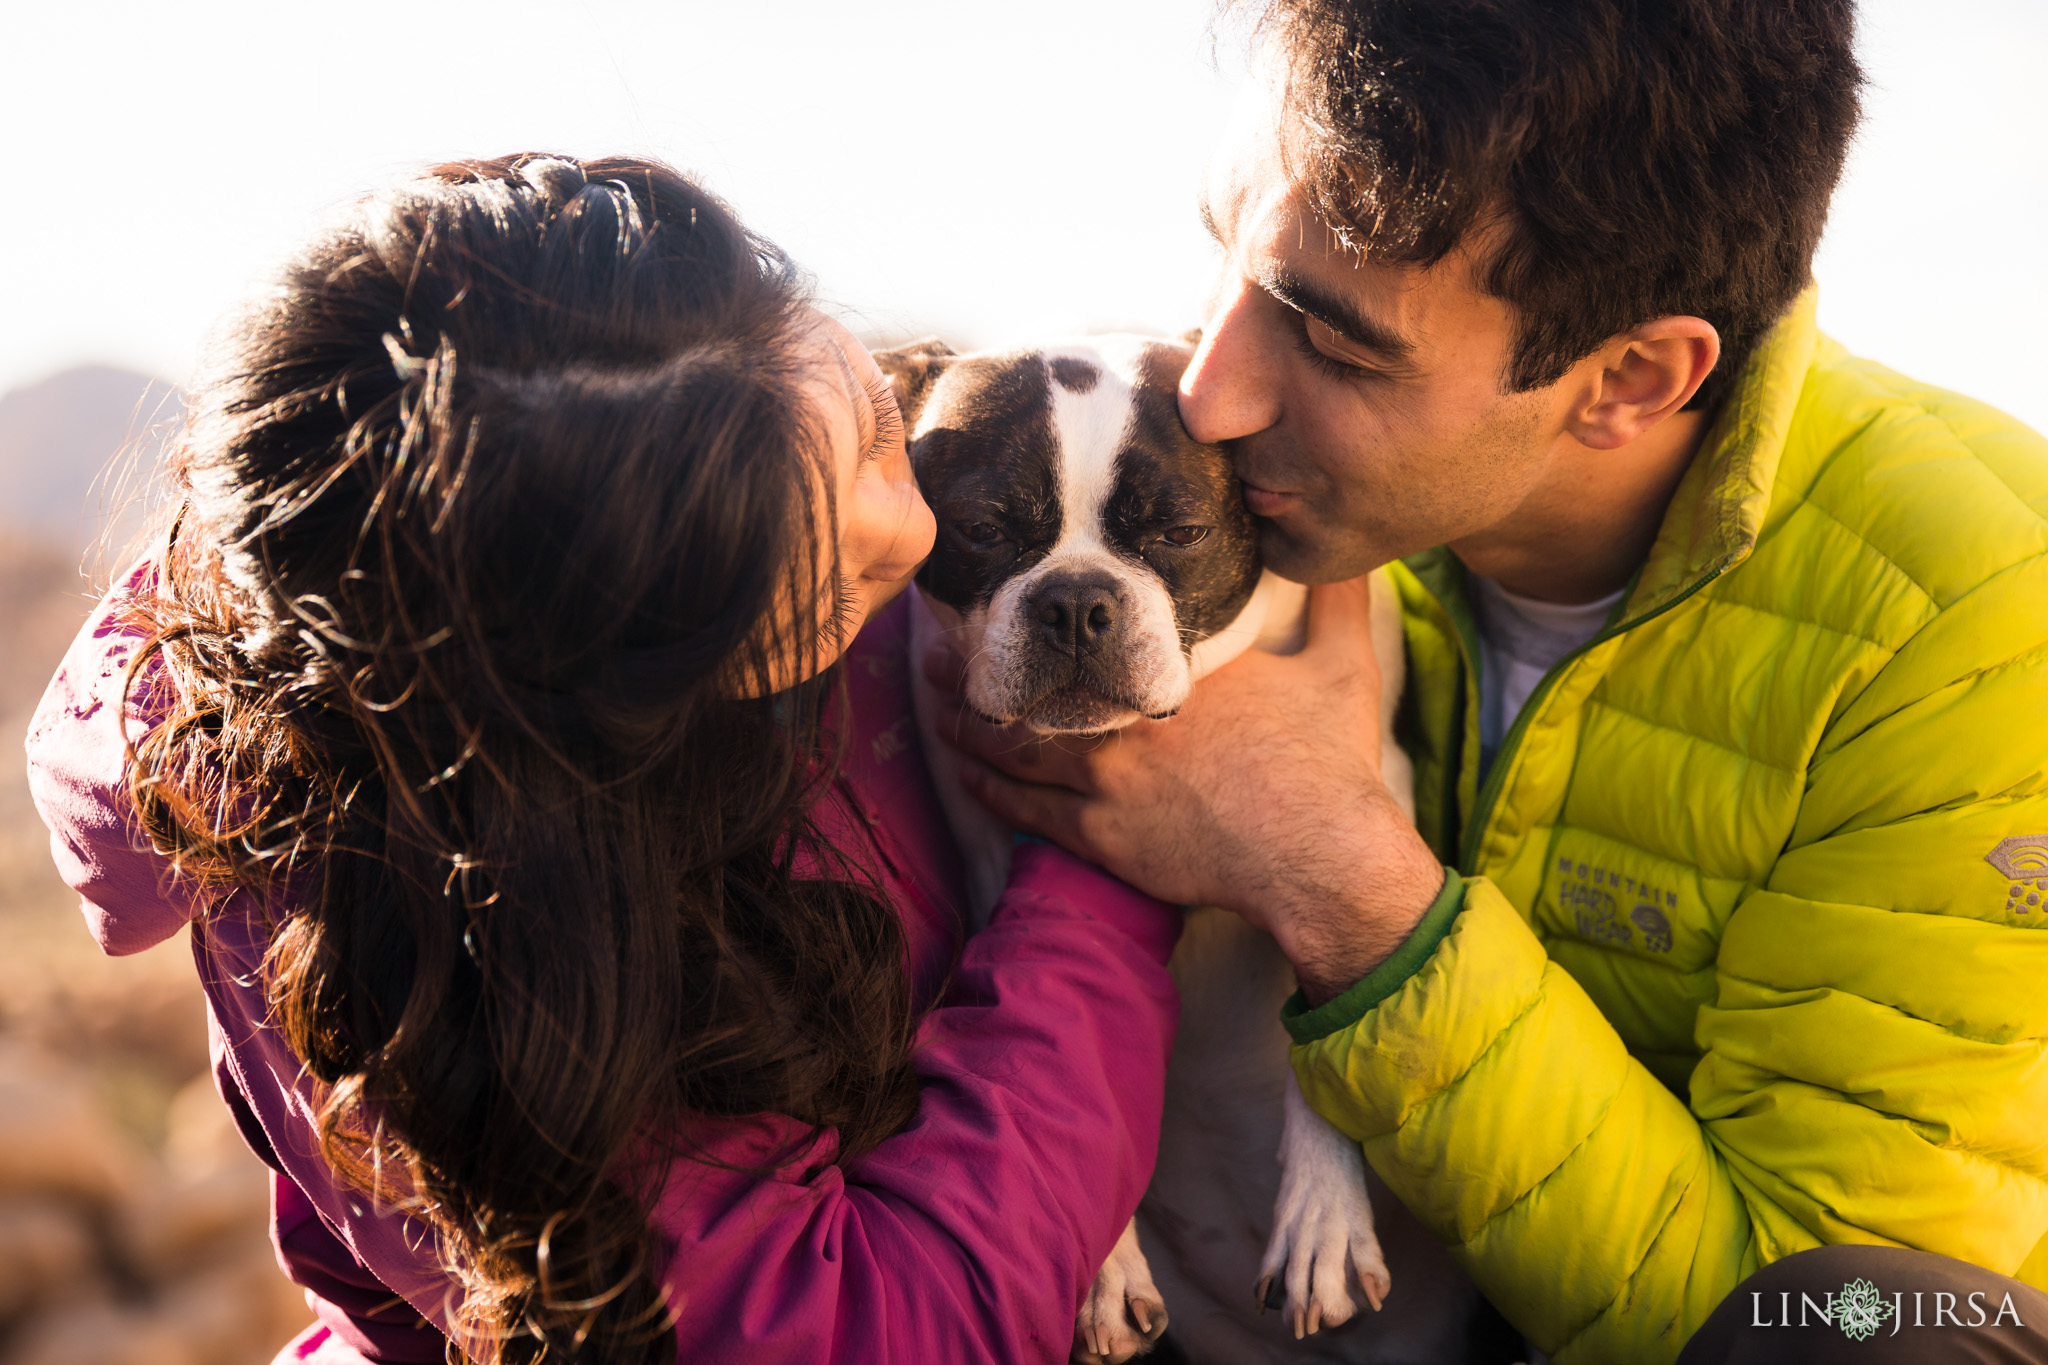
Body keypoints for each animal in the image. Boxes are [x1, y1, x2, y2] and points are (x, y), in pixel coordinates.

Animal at [872, 333, 1466, 1365]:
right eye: (982, 528)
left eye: (1179, 532)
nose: (1075, 600)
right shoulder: (988, 858)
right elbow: (1053, 1051)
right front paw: (1103, 1272)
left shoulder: (1363, 798)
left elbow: (1331, 992)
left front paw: (1323, 1219)